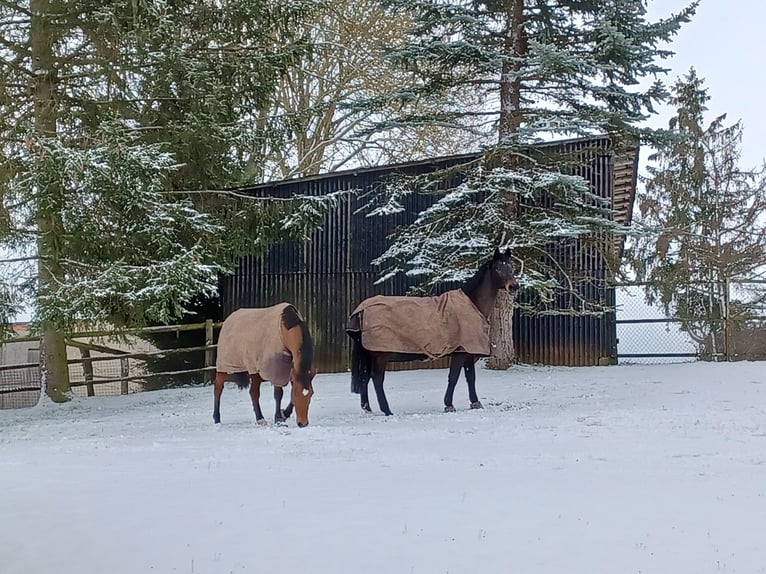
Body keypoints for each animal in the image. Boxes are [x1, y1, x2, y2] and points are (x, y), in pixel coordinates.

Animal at [346, 248, 518, 415]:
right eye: (498, 268)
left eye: (511, 267)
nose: (514, 286)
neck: (473, 304)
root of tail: (362, 310)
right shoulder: (460, 352)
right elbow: (454, 377)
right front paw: (449, 405)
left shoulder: (469, 352)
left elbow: (470, 377)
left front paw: (475, 403)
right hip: (380, 354)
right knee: (377, 379)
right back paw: (387, 410)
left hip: (369, 354)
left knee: (365, 377)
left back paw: (367, 408)